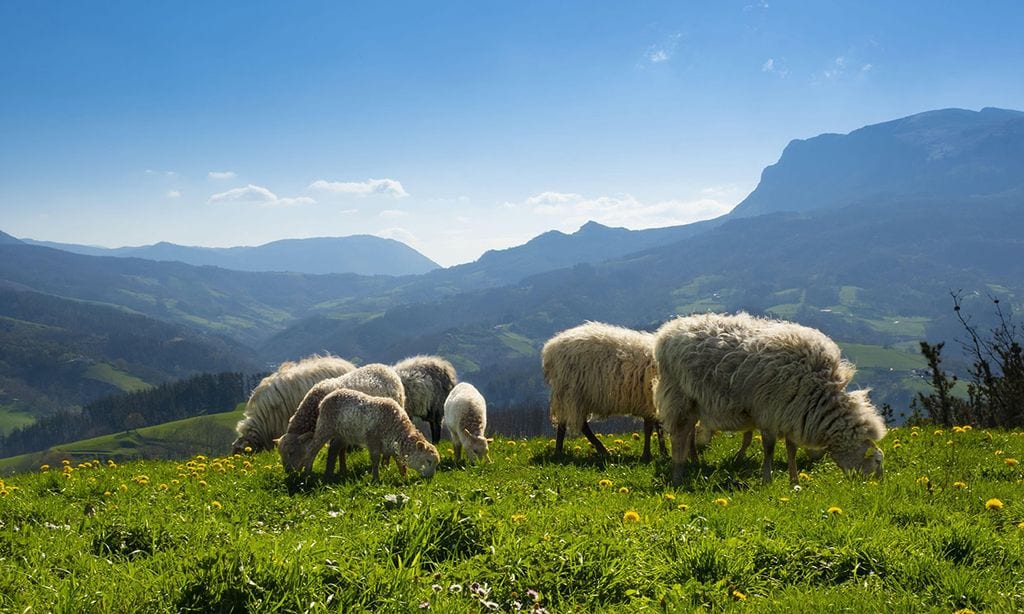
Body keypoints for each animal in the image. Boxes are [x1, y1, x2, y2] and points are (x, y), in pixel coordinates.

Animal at [296, 388, 440, 478]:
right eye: (428, 461)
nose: (430, 478)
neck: (395, 426)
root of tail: (325, 398)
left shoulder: (392, 445)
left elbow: (399, 462)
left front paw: (404, 476)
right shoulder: (373, 440)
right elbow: (375, 460)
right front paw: (375, 479)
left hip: (343, 434)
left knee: (333, 449)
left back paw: (330, 473)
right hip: (324, 427)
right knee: (313, 449)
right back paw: (307, 472)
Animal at [540, 321, 667, 460]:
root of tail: (550, 348)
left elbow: (658, 427)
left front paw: (663, 453)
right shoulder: (648, 402)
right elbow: (650, 428)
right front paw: (647, 455)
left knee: (572, 423)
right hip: (571, 392)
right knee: (575, 424)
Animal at [655, 315, 888, 487]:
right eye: (877, 461)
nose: (877, 485)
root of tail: (667, 332)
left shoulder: (792, 413)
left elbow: (791, 448)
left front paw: (794, 481)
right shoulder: (769, 411)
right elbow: (769, 447)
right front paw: (767, 479)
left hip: (694, 404)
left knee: (688, 433)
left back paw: (693, 465)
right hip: (679, 396)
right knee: (678, 435)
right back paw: (677, 476)